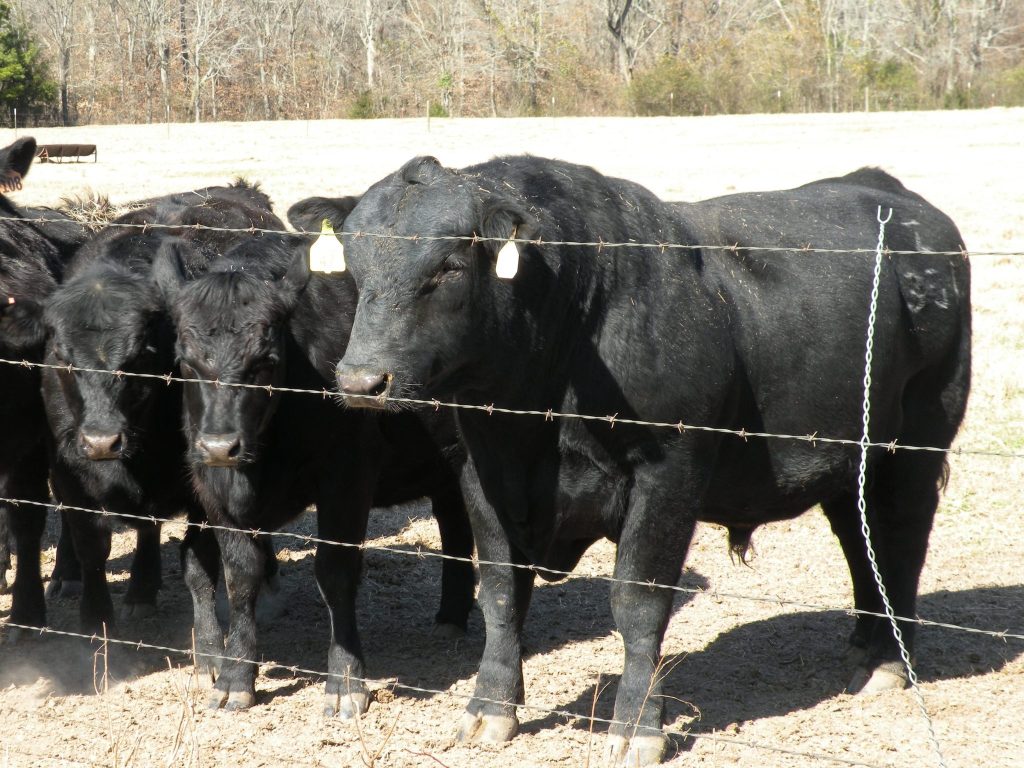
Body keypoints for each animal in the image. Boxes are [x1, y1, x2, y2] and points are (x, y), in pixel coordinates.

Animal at [37, 180, 283, 634]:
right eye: (62, 356)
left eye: (140, 356)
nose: (102, 441)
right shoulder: (68, 468)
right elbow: (91, 545)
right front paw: (95, 619)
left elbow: (199, 560)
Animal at [152, 226, 475, 713]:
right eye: (186, 360)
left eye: (265, 361)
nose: (221, 446)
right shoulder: (212, 488)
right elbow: (240, 575)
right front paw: (235, 675)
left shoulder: (347, 476)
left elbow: (335, 572)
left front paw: (345, 679)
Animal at [322, 156, 970, 765]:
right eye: (353, 266)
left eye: (449, 266)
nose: (360, 380)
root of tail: (887, 192)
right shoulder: (481, 473)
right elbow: (502, 593)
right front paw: (490, 710)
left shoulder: (668, 473)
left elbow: (638, 601)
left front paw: (635, 727)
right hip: (848, 465)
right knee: (863, 544)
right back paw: (865, 643)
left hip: (915, 445)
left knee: (901, 540)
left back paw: (889, 662)